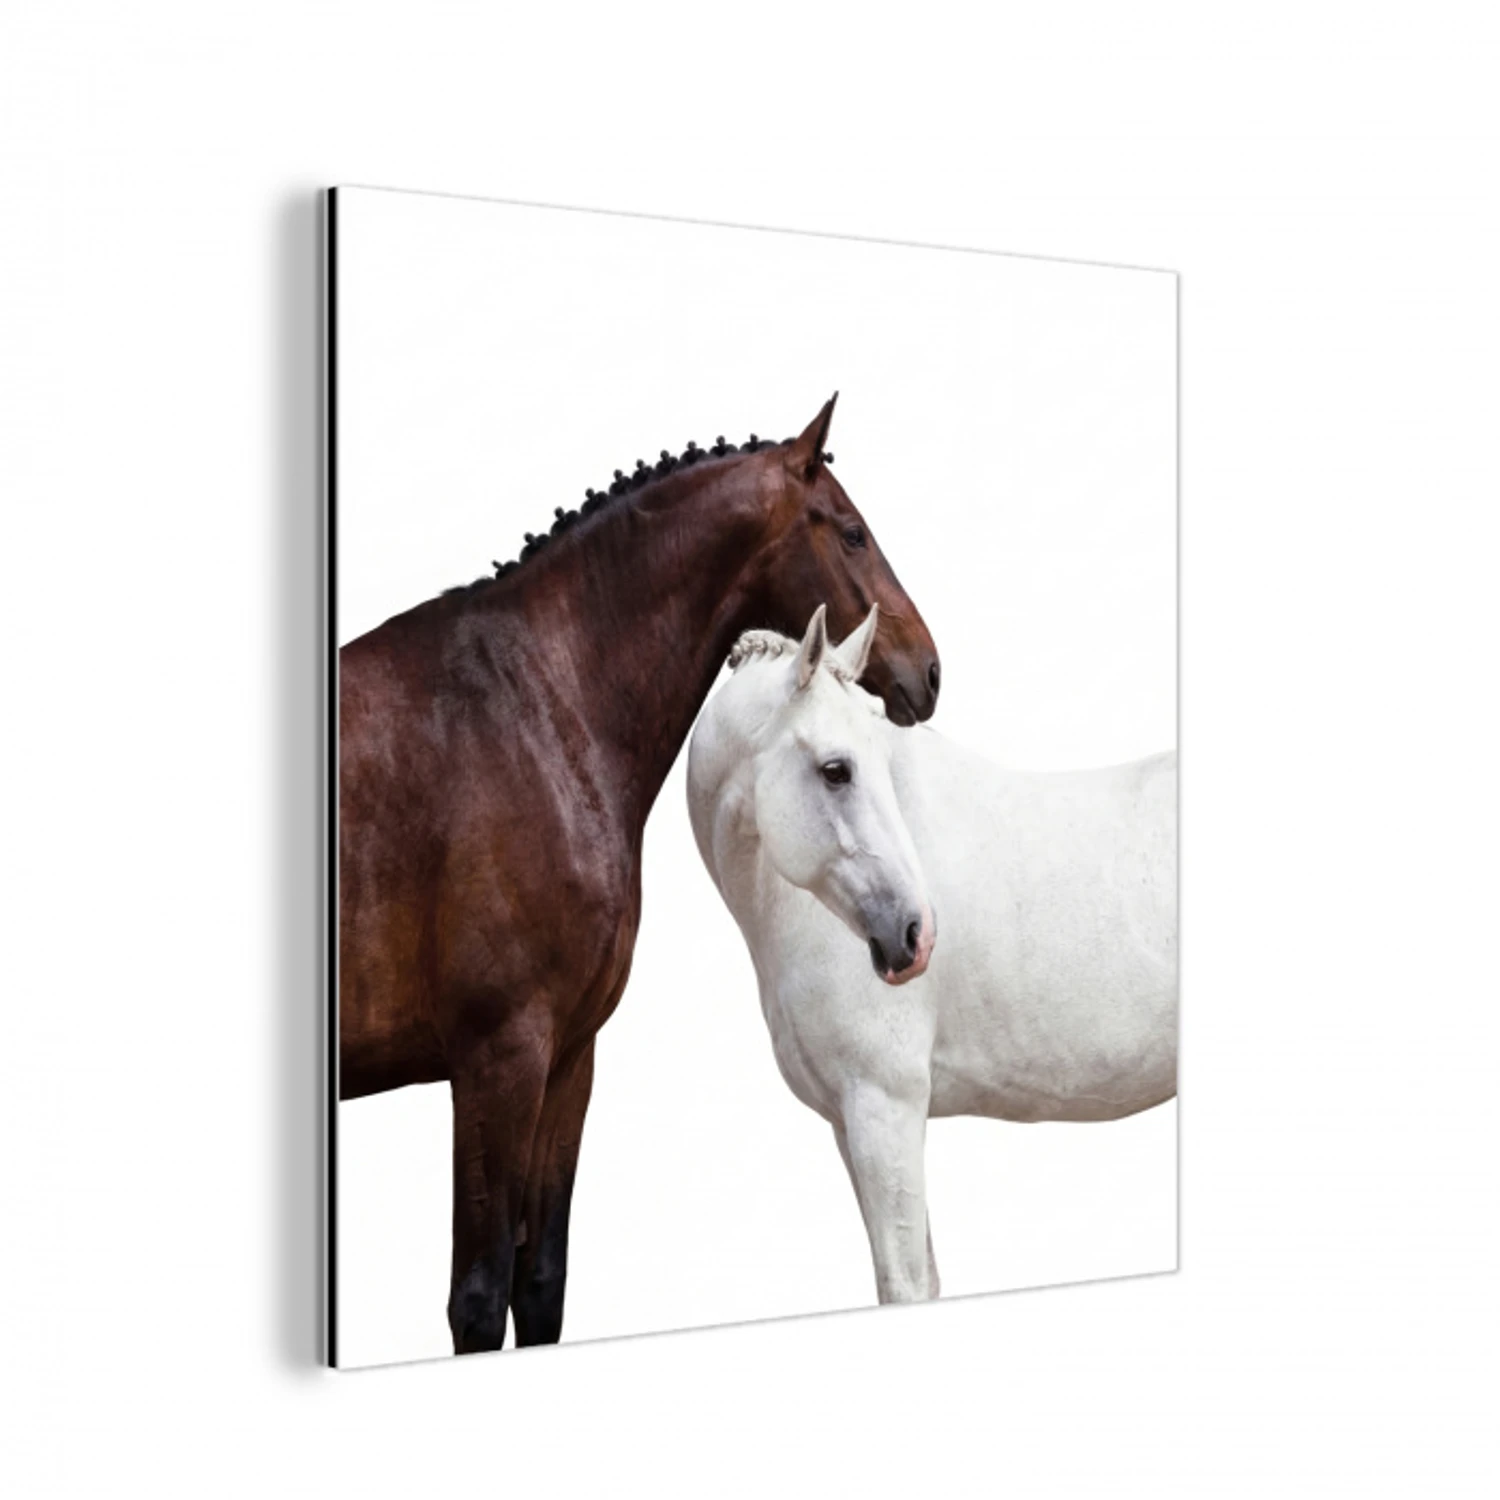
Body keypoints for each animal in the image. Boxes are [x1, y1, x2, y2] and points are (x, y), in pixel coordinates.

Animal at [338, 396, 941, 1355]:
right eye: (852, 532)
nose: (929, 669)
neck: (530, 714)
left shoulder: (566, 1060)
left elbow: (539, 1284)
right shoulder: (497, 1059)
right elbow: (478, 1296)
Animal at [686, 606, 1176, 1304]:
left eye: (876, 760)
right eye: (836, 769)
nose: (914, 935)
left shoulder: (885, 1107)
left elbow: (906, 1284)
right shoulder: (851, 1122)